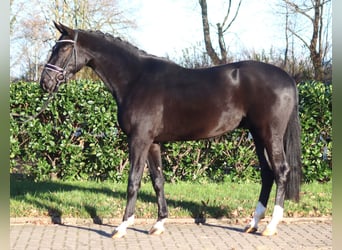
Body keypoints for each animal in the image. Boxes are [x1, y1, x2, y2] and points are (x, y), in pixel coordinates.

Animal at [40, 22, 302, 238]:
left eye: (63, 49)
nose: (45, 82)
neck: (136, 79)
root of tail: (287, 78)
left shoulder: (139, 140)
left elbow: (134, 181)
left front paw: (122, 226)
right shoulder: (153, 143)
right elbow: (158, 180)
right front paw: (158, 224)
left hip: (270, 134)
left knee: (280, 171)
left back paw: (270, 226)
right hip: (257, 135)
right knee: (267, 173)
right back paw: (253, 223)